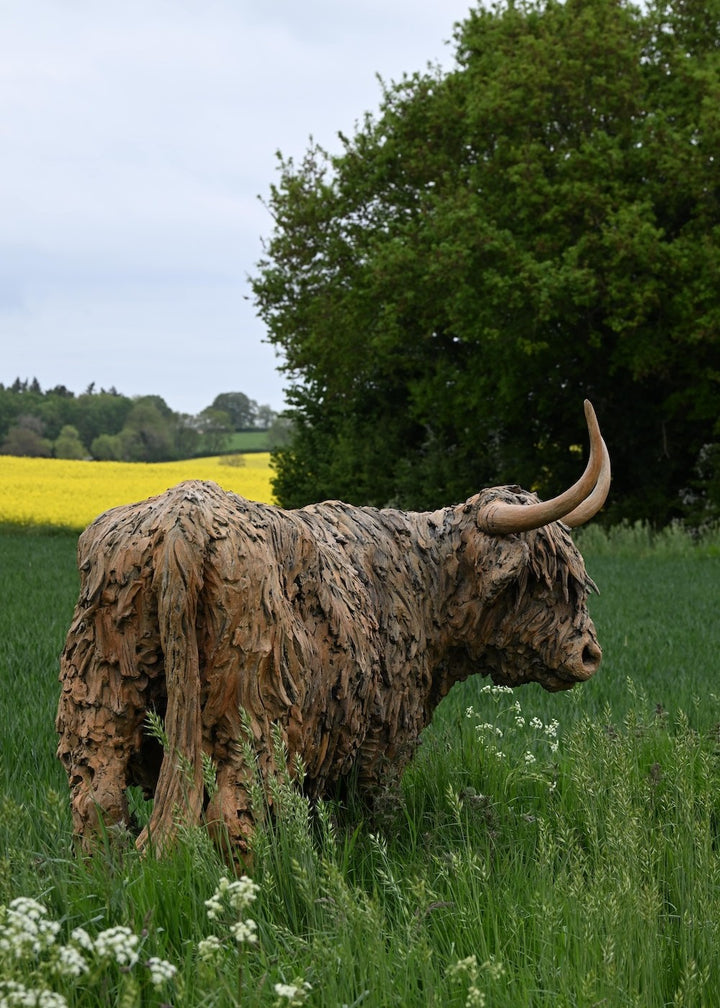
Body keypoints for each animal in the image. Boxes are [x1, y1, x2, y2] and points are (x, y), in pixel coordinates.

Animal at [57, 400, 610, 858]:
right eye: (542, 583)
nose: (590, 654)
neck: (423, 582)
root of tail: (182, 522)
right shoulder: (384, 735)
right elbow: (375, 807)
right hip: (253, 707)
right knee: (235, 814)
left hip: (103, 687)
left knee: (97, 799)